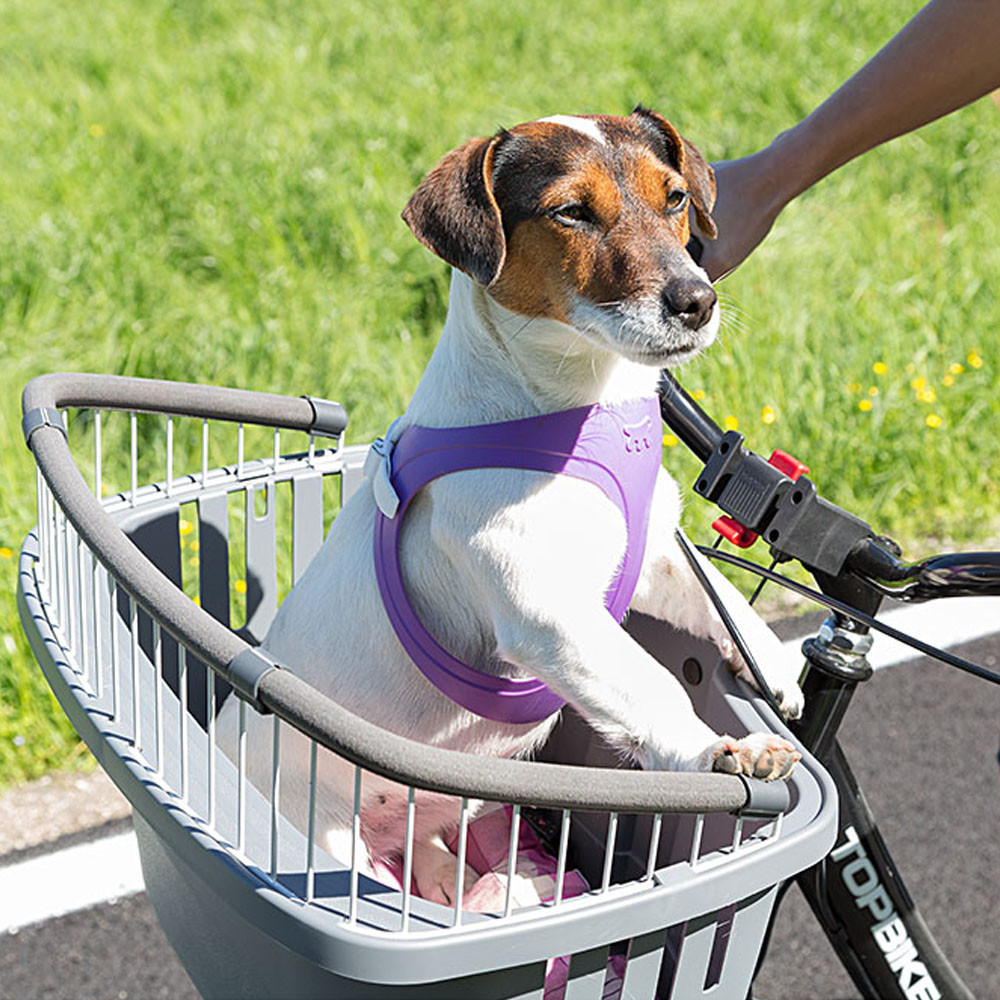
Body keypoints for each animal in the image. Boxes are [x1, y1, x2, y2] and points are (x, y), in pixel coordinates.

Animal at [240, 107, 804, 908]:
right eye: (570, 212)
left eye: (674, 198)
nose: (697, 302)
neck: (582, 405)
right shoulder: (548, 615)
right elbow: (651, 682)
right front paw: (716, 749)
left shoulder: (654, 553)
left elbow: (716, 595)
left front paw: (769, 659)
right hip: (332, 850)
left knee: (431, 857)